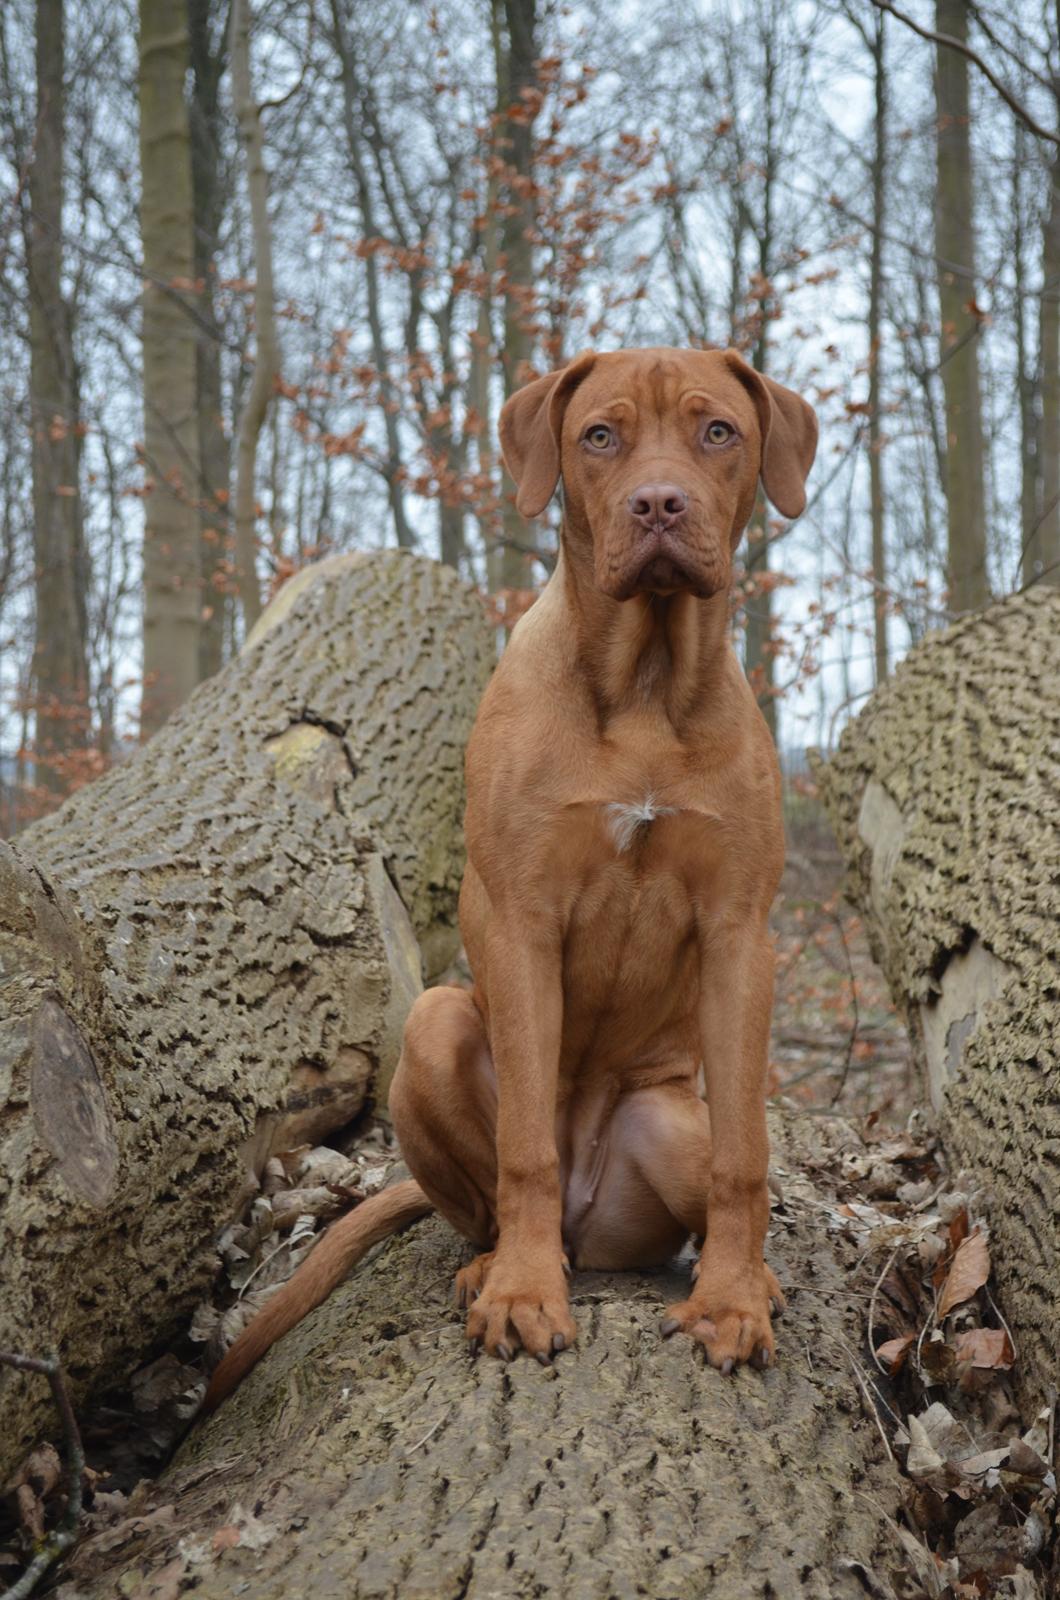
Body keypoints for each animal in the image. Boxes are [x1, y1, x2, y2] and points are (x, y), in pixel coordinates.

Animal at [208, 344, 819, 1408]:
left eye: (719, 432)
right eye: (600, 436)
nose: (659, 505)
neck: (646, 684)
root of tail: (589, 1220)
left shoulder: (741, 930)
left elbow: (748, 1153)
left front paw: (735, 1300)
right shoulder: (523, 919)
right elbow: (526, 1144)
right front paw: (525, 1294)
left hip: (671, 1120)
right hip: (434, 1026)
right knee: (488, 1197)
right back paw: (497, 1263)